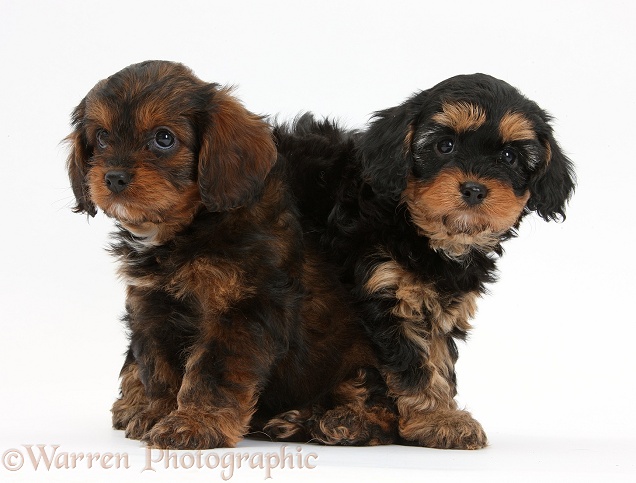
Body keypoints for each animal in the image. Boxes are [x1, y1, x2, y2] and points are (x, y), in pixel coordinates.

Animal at [64, 59, 396, 450]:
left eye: (164, 138)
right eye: (101, 137)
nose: (114, 177)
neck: (189, 228)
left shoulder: (240, 309)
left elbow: (212, 371)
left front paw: (195, 423)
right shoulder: (152, 307)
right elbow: (157, 368)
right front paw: (156, 413)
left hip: (361, 365)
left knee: (380, 407)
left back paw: (340, 421)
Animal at [276, 74, 572, 450]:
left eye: (509, 156)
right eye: (445, 146)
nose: (474, 189)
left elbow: (437, 355)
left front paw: (439, 416)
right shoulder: (386, 284)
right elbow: (413, 363)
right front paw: (437, 418)